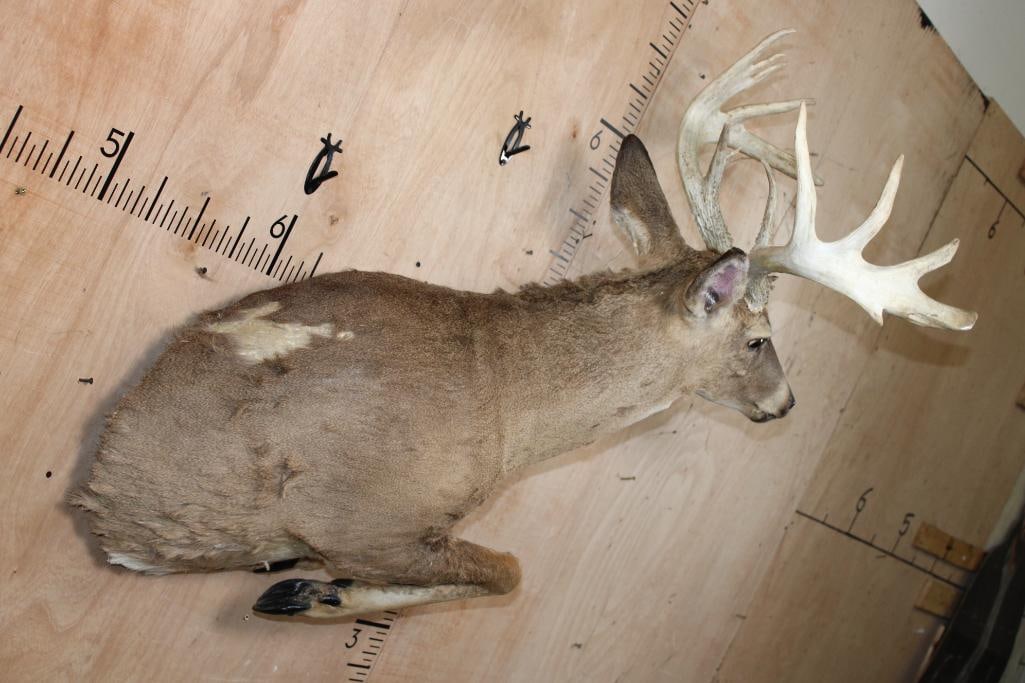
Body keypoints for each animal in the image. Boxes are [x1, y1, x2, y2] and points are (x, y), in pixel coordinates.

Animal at [70, 30, 976, 619]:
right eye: (756, 337)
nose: (785, 402)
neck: (503, 402)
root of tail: (94, 484)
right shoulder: (353, 512)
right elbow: (506, 570)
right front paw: (310, 588)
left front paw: (308, 586)